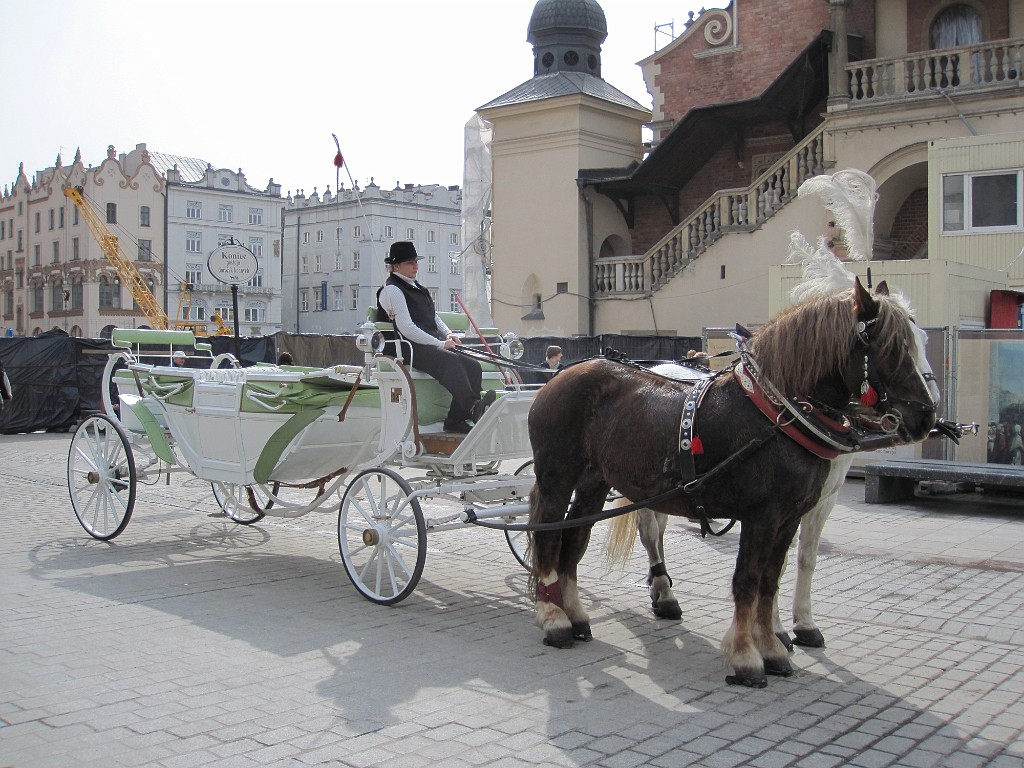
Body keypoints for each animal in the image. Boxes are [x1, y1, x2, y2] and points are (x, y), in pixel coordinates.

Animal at [525, 277, 938, 687]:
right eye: (892, 346)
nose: (926, 417)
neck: (777, 414)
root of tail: (562, 375)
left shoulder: (789, 517)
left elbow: (770, 580)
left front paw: (772, 645)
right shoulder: (761, 516)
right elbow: (747, 580)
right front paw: (745, 655)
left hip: (594, 483)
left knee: (574, 543)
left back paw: (577, 613)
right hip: (557, 479)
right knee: (548, 538)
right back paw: (554, 618)